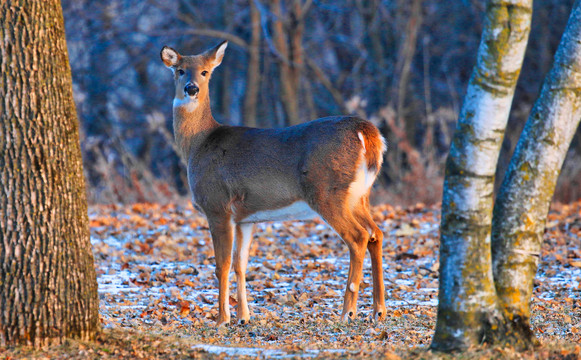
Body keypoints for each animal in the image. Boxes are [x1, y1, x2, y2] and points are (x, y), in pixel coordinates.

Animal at [160, 41, 386, 326]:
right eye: (180, 70)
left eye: (204, 72)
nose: (192, 88)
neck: (198, 144)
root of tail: (368, 133)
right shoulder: (244, 218)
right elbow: (240, 264)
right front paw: (244, 317)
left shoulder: (217, 206)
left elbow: (221, 265)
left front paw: (222, 320)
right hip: (360, 195)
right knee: (376, 233)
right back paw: (379, 310)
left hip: (328, 192)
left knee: (357, 237)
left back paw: (348, 312)